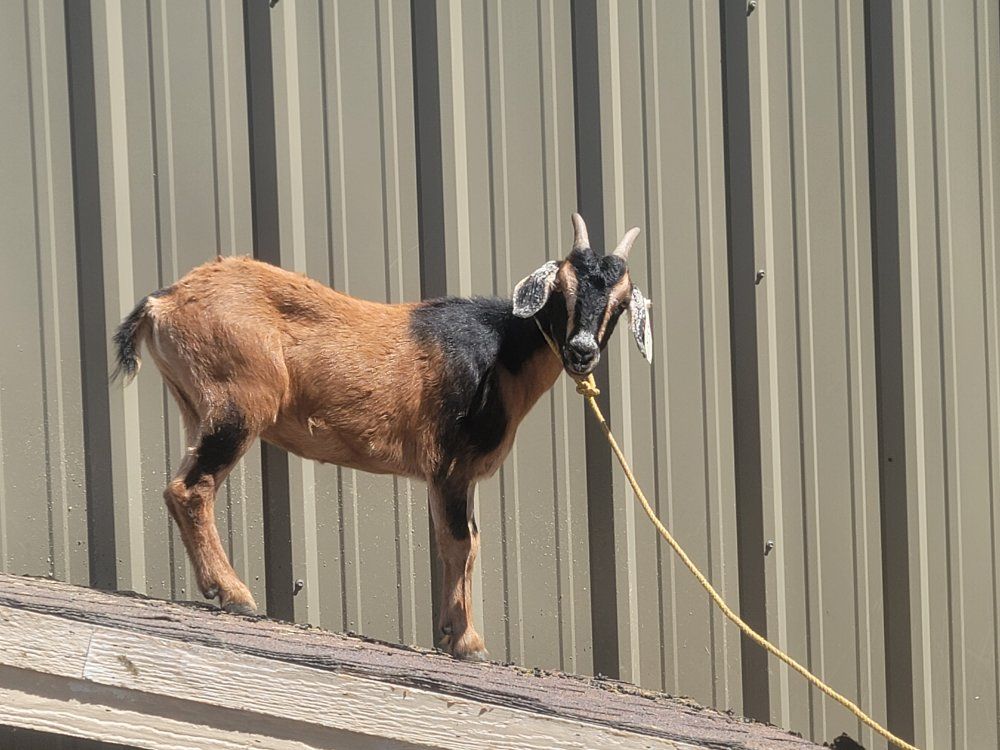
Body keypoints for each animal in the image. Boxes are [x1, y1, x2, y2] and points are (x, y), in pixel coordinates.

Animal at [112, 212, 652, 660]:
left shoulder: (448, 476)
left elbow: (456, 541)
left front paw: (450, 631)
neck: (499, 353)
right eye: (561, 287)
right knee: (190, 488)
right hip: (237, 404)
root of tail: (164, 302)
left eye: (622, 301)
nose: (581, 351)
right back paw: (236, 595)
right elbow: (463, 542)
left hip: (196, 405)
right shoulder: (452, 465)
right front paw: (468, 643)